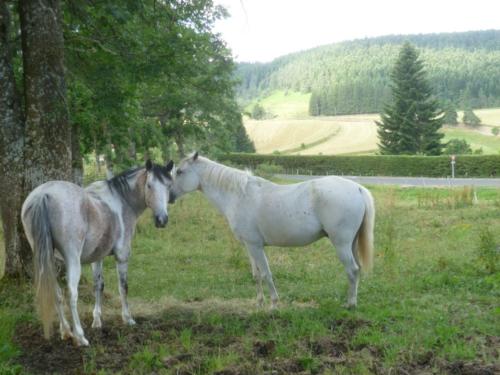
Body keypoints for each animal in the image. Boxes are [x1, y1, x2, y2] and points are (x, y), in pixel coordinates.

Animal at [21, 159, 174, 346]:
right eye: (149, 185)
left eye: (168, 185)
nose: (162, 220)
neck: (122, 200)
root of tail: (44, 194)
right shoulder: (122, 256)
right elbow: (123, 287)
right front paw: (128, 318)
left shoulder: (97, 257)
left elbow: (98, 286)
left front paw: (97, 321)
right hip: (72, 260)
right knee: (72, 293)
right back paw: (80, 336)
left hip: (49, 259)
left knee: (56, 292)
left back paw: (66, 331)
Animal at [170, 153, 374, 308]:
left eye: (179, 171)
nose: (170, 196)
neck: (239, 195)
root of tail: (357, 188)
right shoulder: (249, 246)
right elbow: (256, 275)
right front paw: (259, 302)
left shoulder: (256, 246)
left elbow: (266, 273)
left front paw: (274, 304)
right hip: (351, 244)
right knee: (357, 269)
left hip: (341, 244)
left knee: (352, 270)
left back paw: (350, 304)